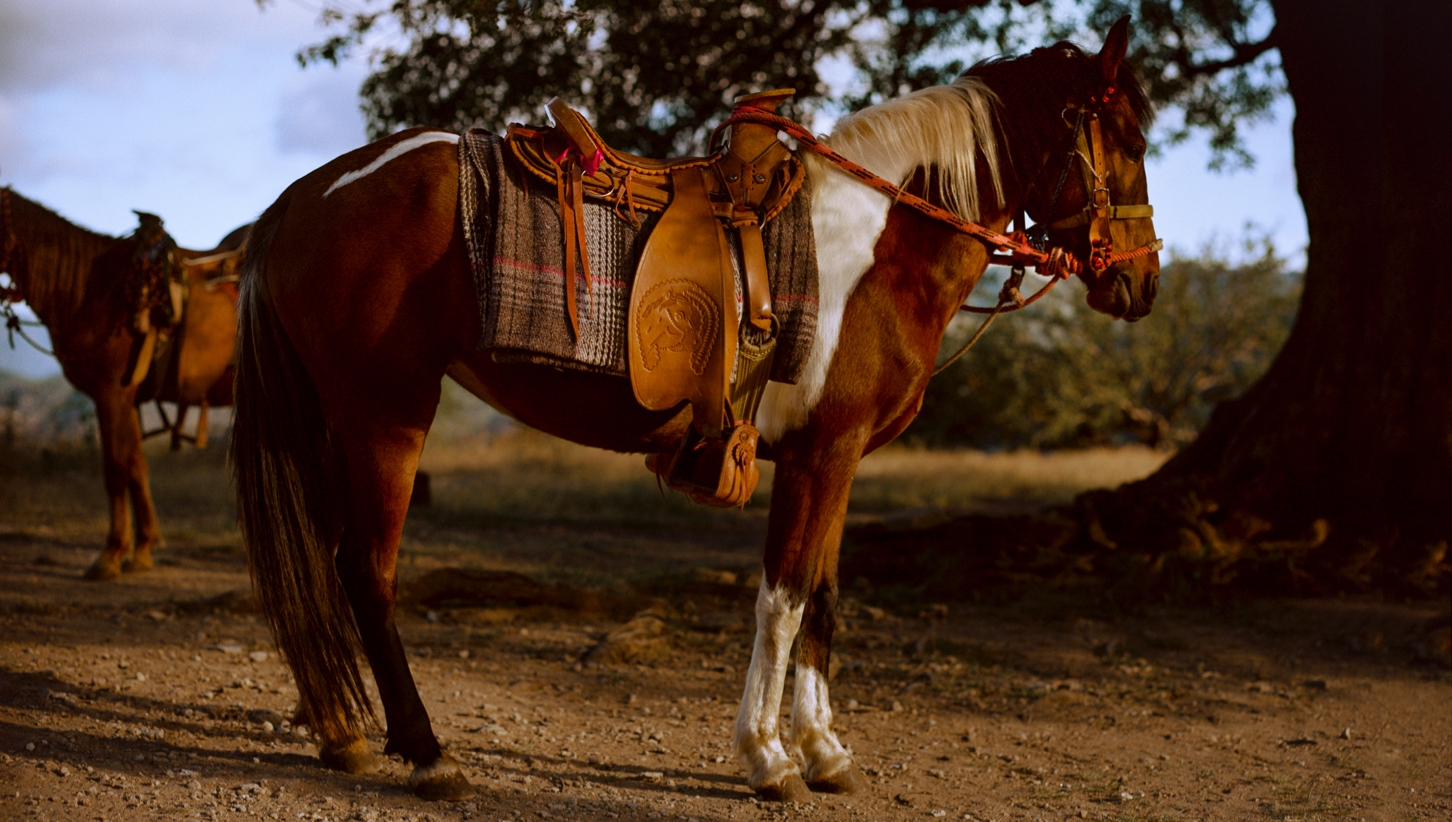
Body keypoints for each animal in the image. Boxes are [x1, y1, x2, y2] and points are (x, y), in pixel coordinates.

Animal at [0, 188, 246, 579]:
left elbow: (115, 470)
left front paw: (111, 555)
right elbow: (135, 468)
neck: (90, 288)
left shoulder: (110, 393)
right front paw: (142, 549)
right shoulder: (125, 398)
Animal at [231, 17, 1158, 802]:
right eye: (1130, 142)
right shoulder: (819, 457)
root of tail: (306, 195)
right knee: (366, 572)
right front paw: (769, 759)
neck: (879, 249)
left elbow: (824, 597)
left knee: (324, 570)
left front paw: (825, 753)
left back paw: (342, 731)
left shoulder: (841, 458)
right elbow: (783, 599)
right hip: (388, 414)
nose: (1142, 284)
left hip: (337, 420)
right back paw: (428, 754)